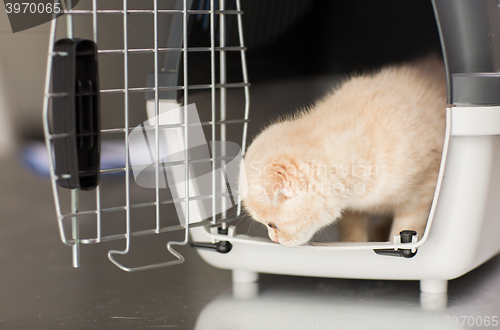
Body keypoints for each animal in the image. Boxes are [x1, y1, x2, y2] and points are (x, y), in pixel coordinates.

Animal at [240, 56, 448, 246]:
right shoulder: (353, 208)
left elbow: (405, 231)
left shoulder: (423, 190)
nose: (273, 240)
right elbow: (352, 231)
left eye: (272, 224)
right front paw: (356, 241)